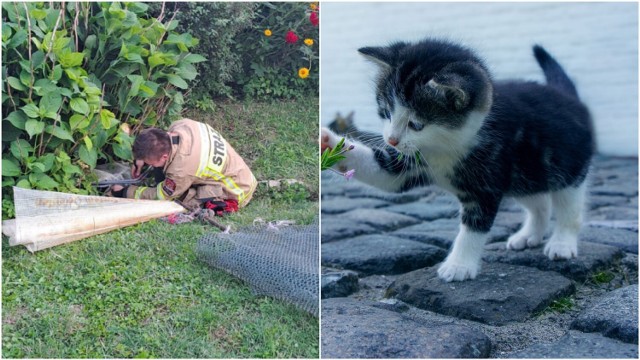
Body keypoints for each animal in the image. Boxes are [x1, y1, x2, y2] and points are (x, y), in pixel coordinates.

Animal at [322, 38, 596, 282]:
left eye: (416, 124)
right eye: (386, 112)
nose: (391, 140)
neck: (447, 146)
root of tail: (568, 97)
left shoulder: (486, 182)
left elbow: (474, 227)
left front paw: (458, 266)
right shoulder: (411, 163)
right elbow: (383, 173)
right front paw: (328, 141)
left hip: (567, 167)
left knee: (569, 207)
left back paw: (561, 243)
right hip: (525, 174)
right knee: (540, 203)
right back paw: (529, 235)